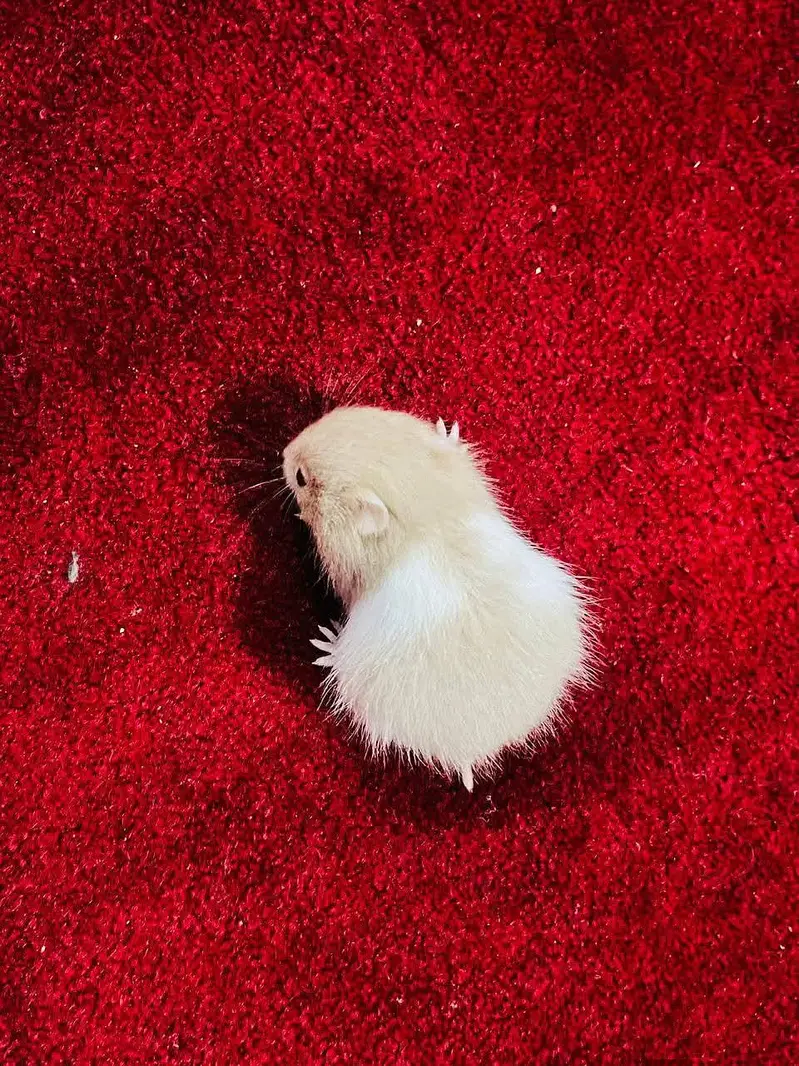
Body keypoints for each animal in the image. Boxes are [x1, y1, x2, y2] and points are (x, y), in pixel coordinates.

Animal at [282, 406, 595, 790]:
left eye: (301, 478)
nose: (285, 451)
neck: (419, 499)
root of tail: (488, 738)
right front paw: (448, 432)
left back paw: (326, 646)